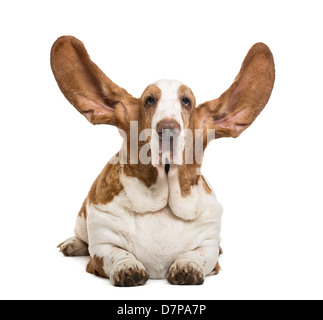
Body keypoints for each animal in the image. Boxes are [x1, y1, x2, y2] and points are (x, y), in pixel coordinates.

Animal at [52, 36, 274, 286]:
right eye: (149, 100)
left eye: (186, 101)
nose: (168, 128)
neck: (162, 203)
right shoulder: (102, 246)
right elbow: (116, 253)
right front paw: (127, 267)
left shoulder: (208, 246)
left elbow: (199, 254)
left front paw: (187, 266)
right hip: (83, 218)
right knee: (81, 235)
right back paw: (73, 244)